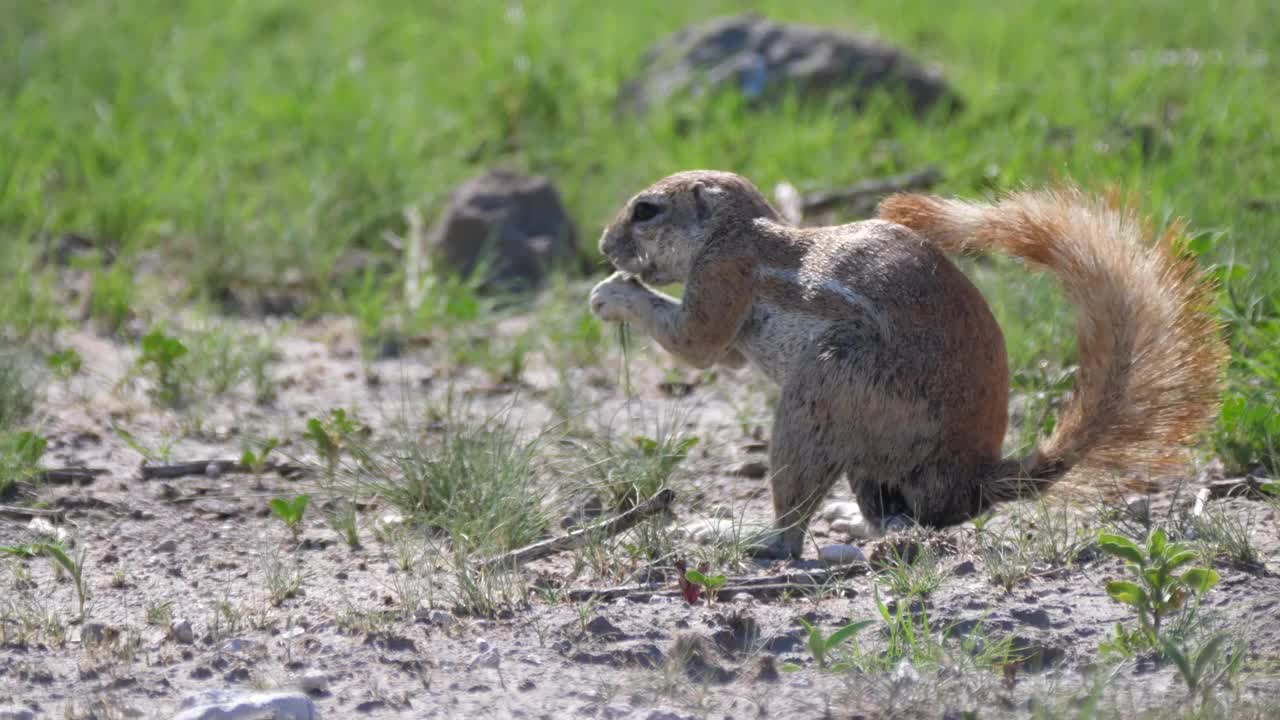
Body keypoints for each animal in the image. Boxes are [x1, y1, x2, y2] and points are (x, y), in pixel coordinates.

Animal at [588, 170, 1228, 558]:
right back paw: (850, 523)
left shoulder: (724, 276)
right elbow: (715, 354)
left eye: (646, 210)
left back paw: (752, 540)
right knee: (892, 515)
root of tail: (974, 479)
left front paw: (612, 294)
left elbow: (694, 343)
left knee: (799, 521)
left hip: (829, 384)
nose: (602, 245)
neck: (738, 230)